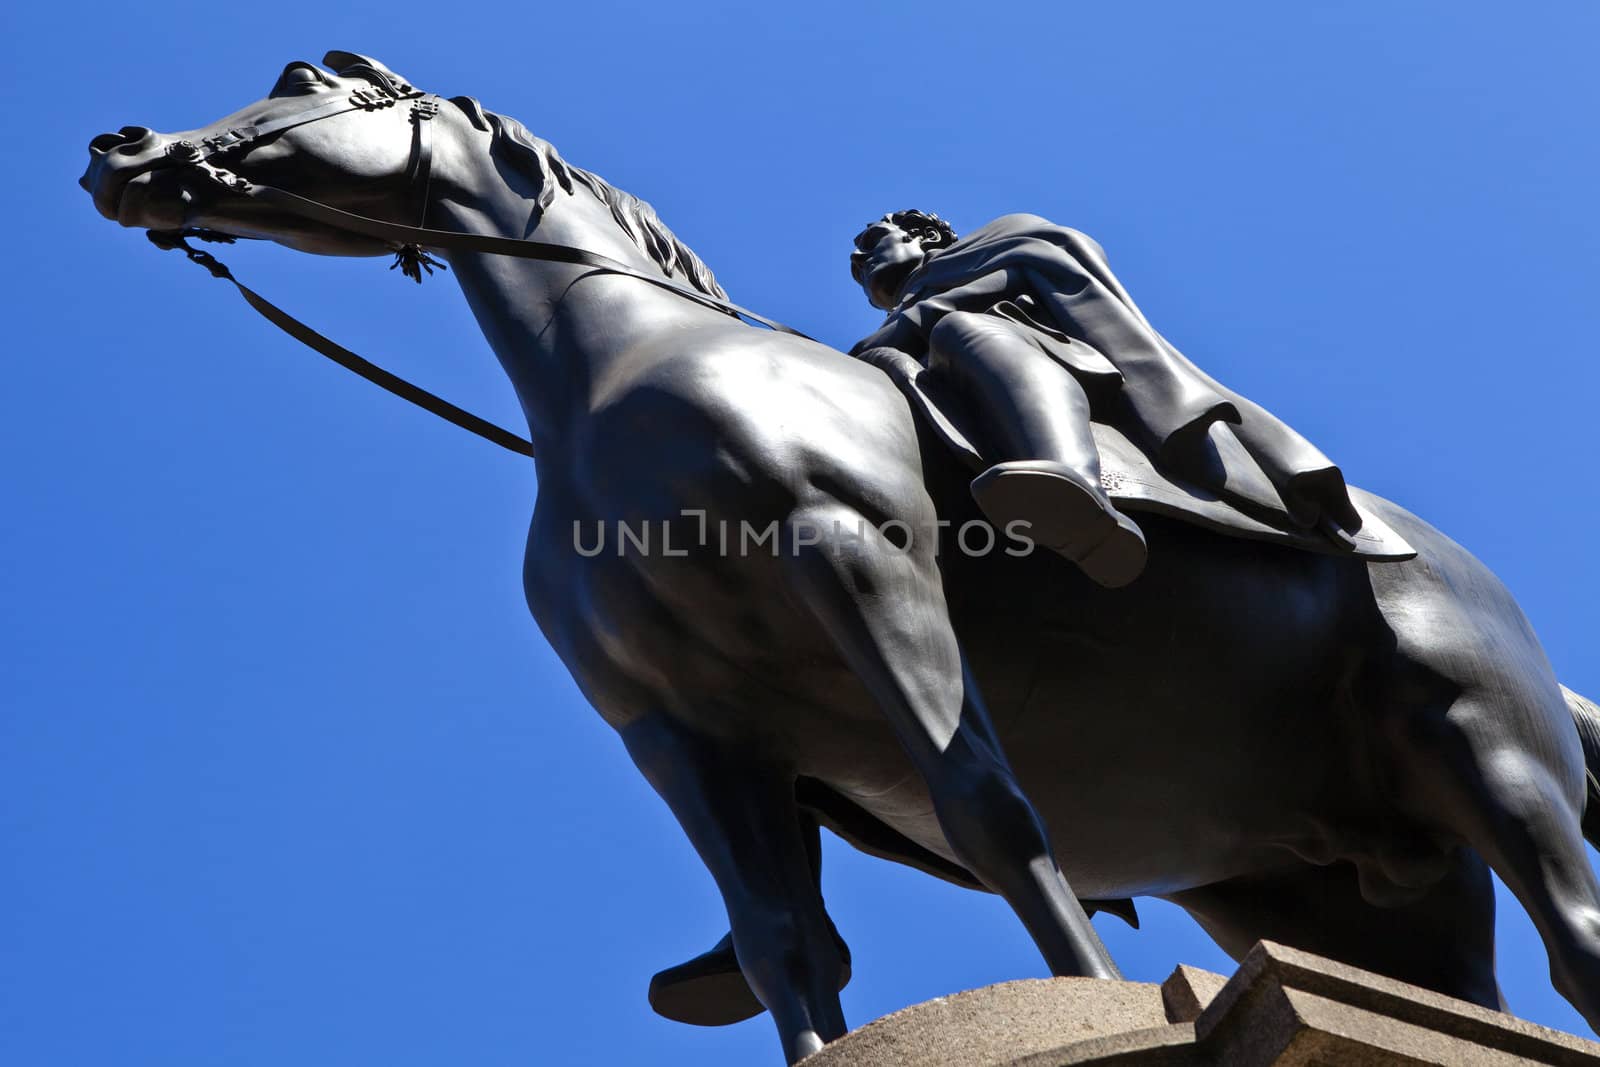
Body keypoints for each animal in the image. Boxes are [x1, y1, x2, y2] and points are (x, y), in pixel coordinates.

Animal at [81, 51, 1600, 1067]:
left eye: (300, 83)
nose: (123, 150)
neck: (616, 382)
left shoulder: (857, 562)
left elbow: (988, 807)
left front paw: (1088, 995)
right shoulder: (674, 720)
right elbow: (779, 935)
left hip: (1490, 752)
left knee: (1577, 940)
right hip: (1341, 884)